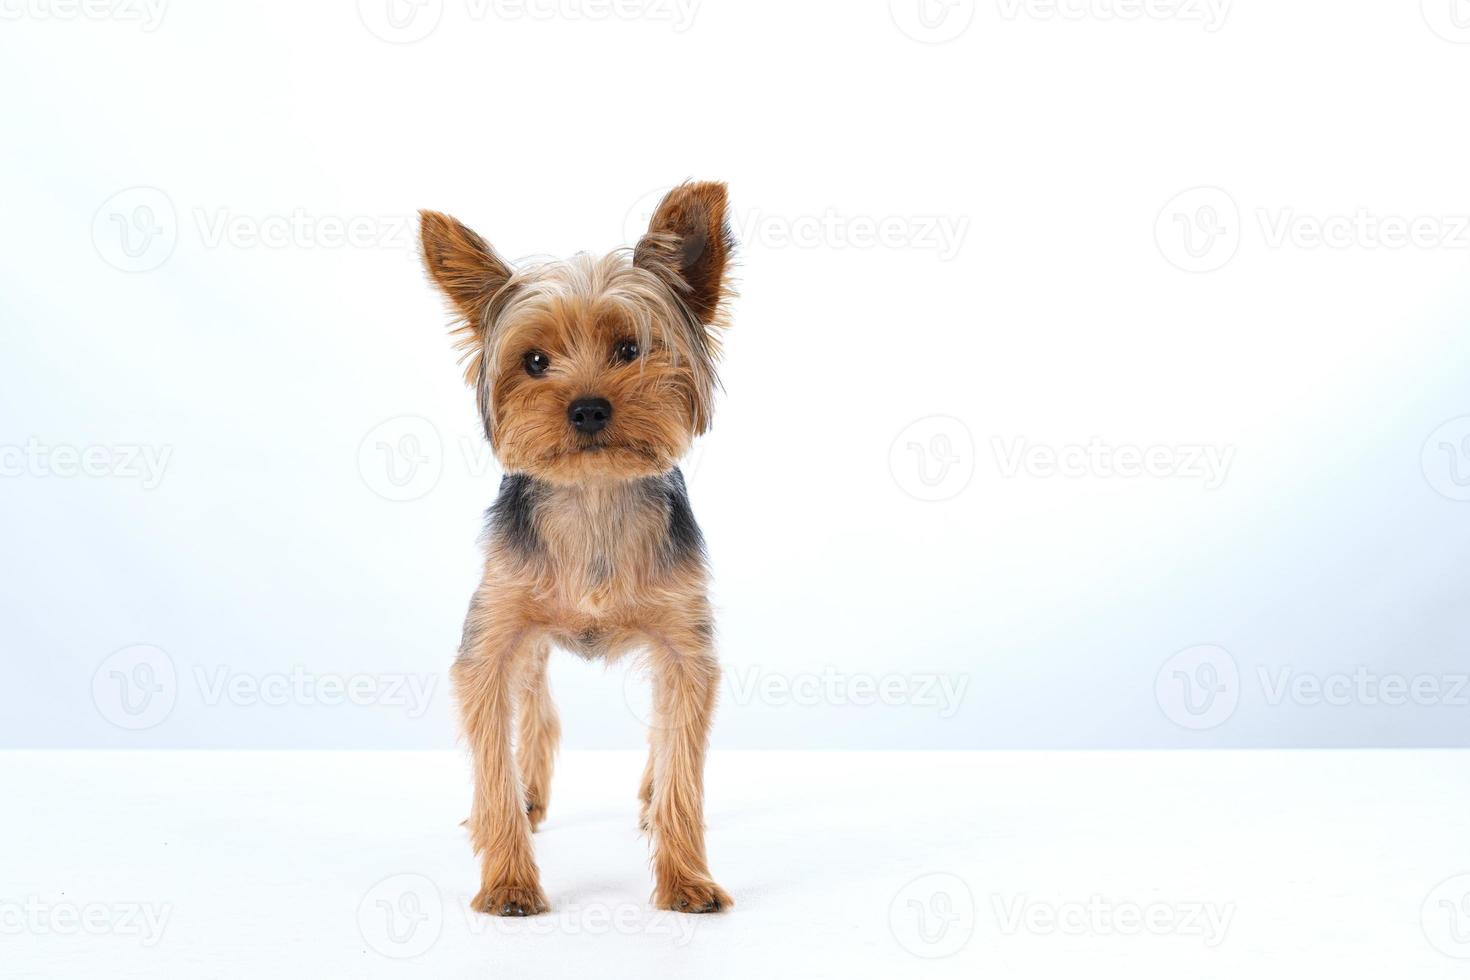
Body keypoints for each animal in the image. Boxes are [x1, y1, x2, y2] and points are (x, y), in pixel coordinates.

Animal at [417, 179, 735, 916]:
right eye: (534, 361)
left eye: (631, 349)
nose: (587, 408)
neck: (592, 497)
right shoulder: (492, 636)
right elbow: (493, 755)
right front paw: (507, 878)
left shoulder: (686, 645)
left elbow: (683, 758)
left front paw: (686, 878)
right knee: (535, 704)